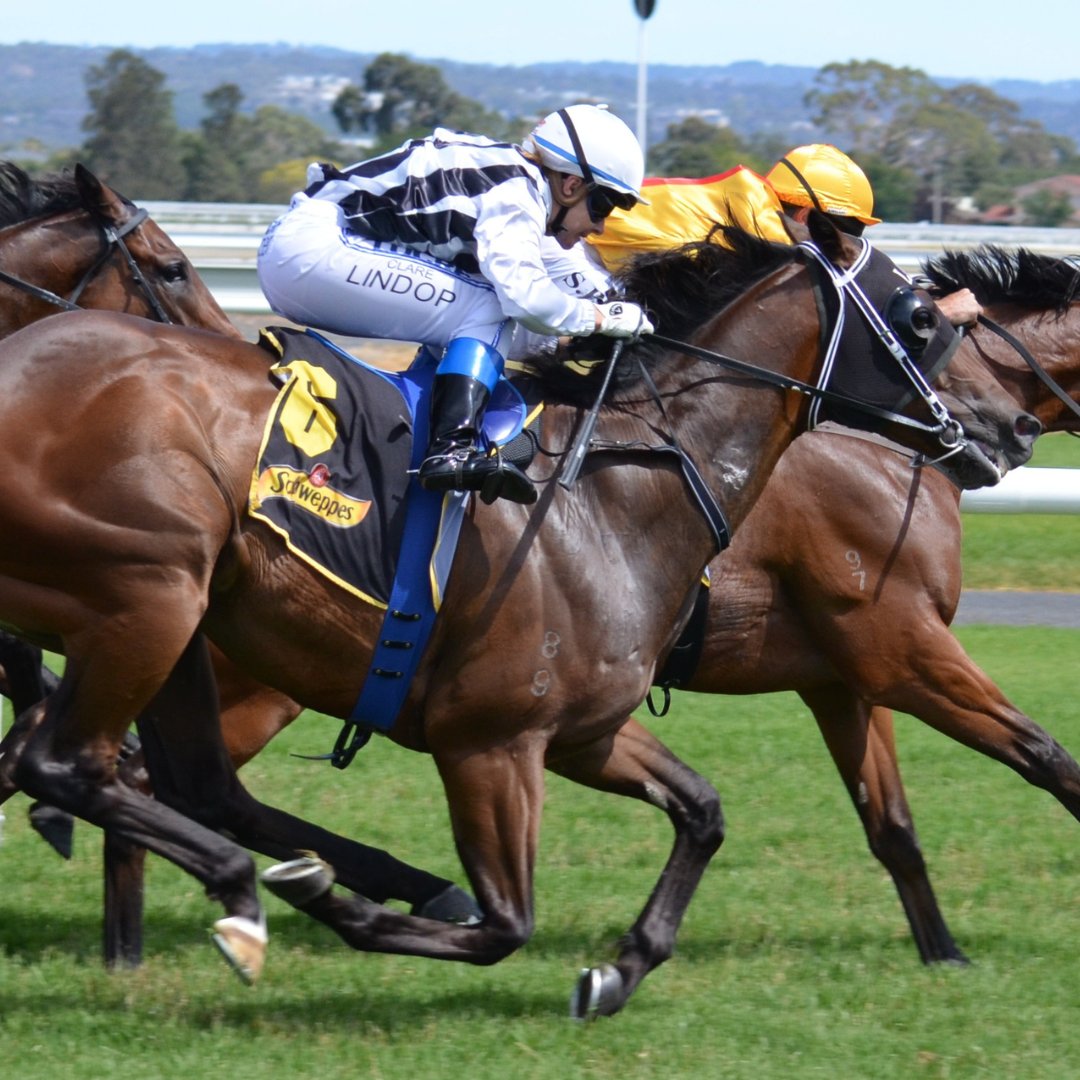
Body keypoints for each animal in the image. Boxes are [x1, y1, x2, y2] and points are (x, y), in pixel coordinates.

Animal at [0, 219, 1028, 1010]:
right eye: (923, 316)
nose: (1000, 426)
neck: (617, 488)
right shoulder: (490, 740)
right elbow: (507, 923)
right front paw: (352, 910)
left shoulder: (581, 731)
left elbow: (702, 812)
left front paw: (618, 971)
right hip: (152, 595)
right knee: (68, 764)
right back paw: (255, 894)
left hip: (184, 620)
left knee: (184, 781)